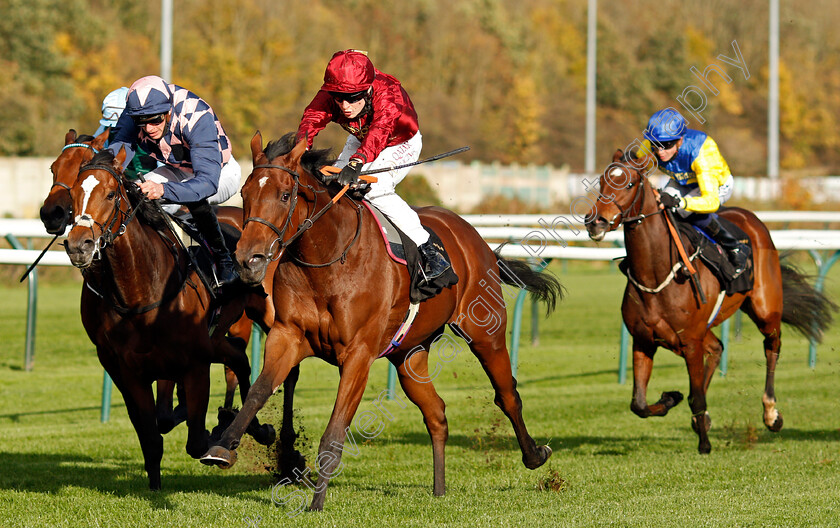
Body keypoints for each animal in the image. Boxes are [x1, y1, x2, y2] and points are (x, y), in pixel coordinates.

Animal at [199, 133, 560, 512]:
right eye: (245, 193)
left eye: (285, 195)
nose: (248, 260)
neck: (329, 258)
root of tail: (475, 238)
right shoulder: (286, 336)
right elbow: (258, 390)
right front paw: (223, 446)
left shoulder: (358, 354)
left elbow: (334, 432)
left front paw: (316, 503)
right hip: (409, 355)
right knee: (437, 413)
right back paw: (439, 488)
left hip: (485, 331)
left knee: (507, 395)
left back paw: (535, 455)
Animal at [584, 150, 832, 454]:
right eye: (601, 182)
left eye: (629, 184)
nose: (595, 222)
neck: (655, 275)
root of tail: (750, 217)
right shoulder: (644, 340)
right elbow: (639, 404)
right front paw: (671, 398)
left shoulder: (690, 342)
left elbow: (696, 397)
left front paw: (704, 444)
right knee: (717, 348)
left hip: (765, 308)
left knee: (772, 346)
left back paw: (771, 414)